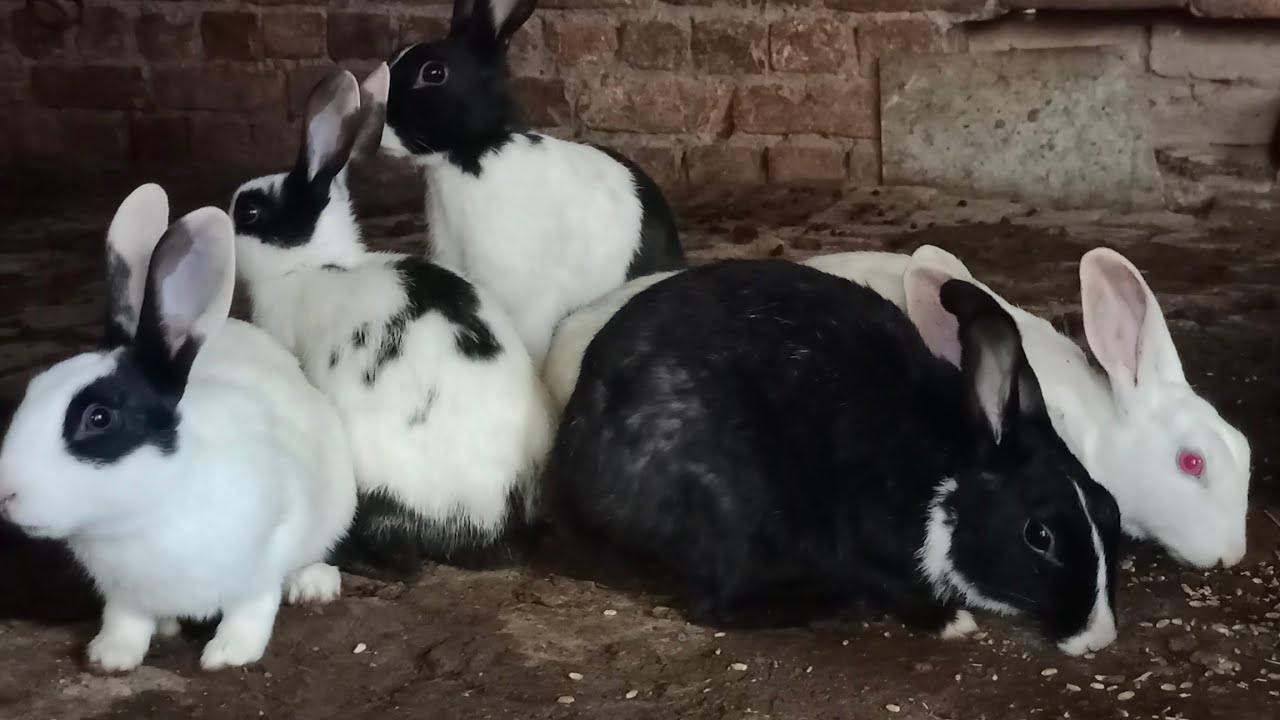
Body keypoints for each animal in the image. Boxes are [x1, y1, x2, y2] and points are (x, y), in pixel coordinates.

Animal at [0, 184, 357, 672]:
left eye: (99, 417)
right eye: (32, 390)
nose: (6, 494)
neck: (142, 515)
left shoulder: (263, 559)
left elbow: (252, 609)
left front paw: (228, 654)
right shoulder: (123, 594)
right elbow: (124, 621)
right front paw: (111, 657)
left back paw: (313, 584)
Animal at [549, 258, 1122, 656]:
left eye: (1109, 507)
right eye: (1038, 535)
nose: (1099, 638)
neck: (943, 469)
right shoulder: (861, 539)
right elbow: (892, 583)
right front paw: (950, 622)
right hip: (729, 507)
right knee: (718, 603)